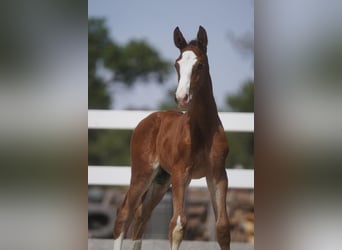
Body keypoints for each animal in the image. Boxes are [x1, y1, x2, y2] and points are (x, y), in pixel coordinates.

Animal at [114, 26, 230, 249]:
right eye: (176, 64)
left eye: (200, 65)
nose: (181, 98)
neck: (203, 130)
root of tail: (148, 119)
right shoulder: (180, 174)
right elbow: (177, 225)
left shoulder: (218, 174)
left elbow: (222, 227)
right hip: (143, 172)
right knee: (125, 212)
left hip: (161, 180)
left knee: (142, 215)